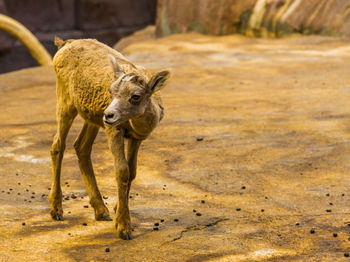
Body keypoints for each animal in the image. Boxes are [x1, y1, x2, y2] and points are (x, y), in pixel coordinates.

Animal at [49, 36, 170, 239]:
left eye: (135, 96)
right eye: (112, 92)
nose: (109, 115)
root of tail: (64, 44)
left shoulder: (136, 138)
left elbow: (132, 172)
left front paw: (117, 210)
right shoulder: (114, 131)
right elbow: (122, 171)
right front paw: (123, 228)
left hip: (92, 119)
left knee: (81, 147)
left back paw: (102, 211)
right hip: (66, 104)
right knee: (58, 146)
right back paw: (57, 211)